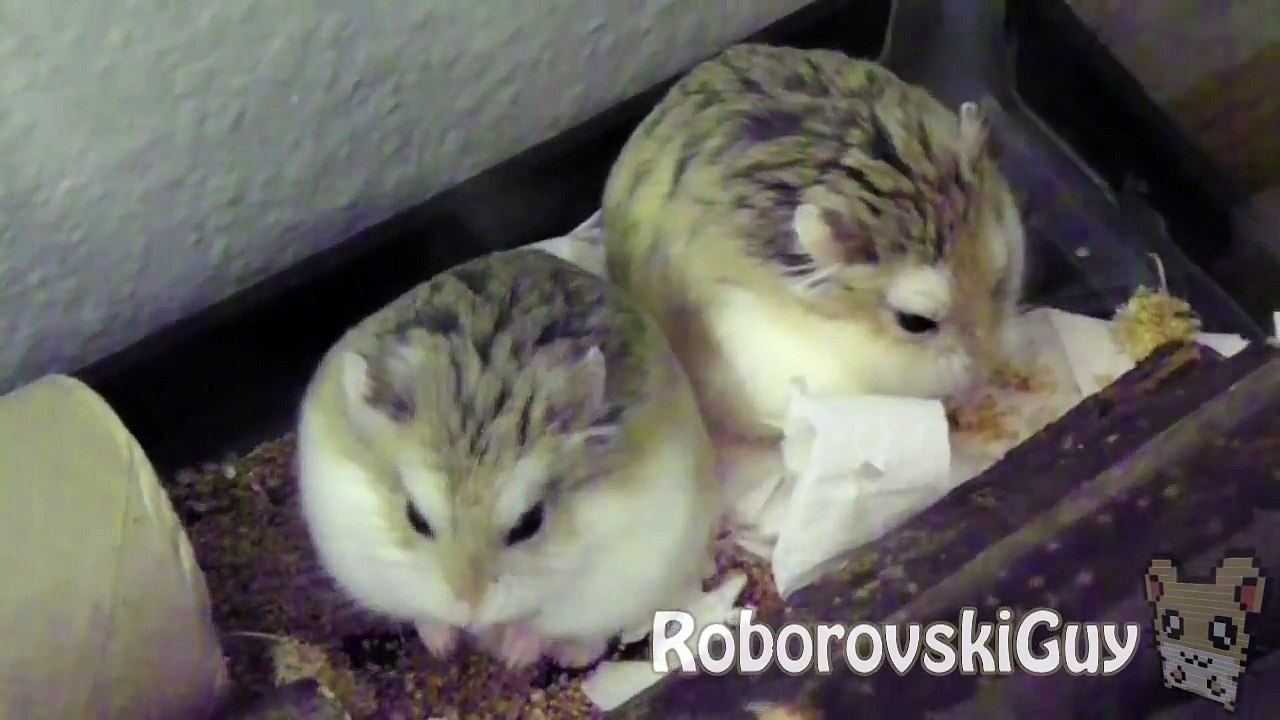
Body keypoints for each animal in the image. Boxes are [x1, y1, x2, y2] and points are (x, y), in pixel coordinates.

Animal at [295, 247, 720, 669]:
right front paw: (444, 644)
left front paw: (514, 655)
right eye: (414, 518)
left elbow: (541, 621)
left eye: (530, 523)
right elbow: (423, 612)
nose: (469, 608)